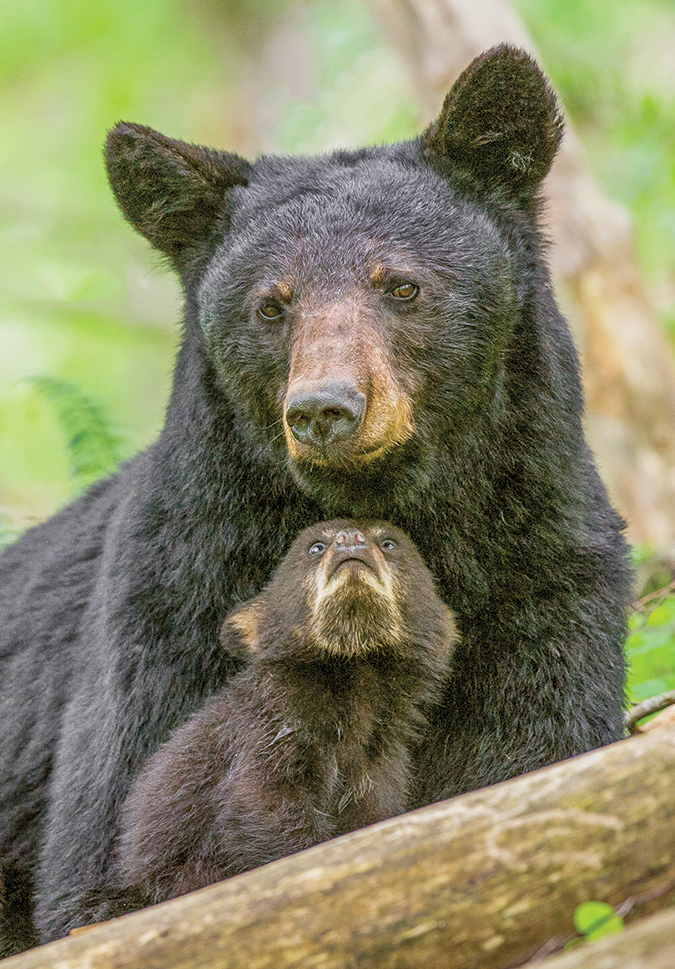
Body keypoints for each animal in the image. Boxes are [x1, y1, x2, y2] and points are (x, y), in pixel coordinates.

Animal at [75, 519, 455, 921]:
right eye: (314, 546)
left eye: (390, 542)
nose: (351, 540)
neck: (353, 677)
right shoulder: (268, 730)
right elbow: (261, 804)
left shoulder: (379, 760)